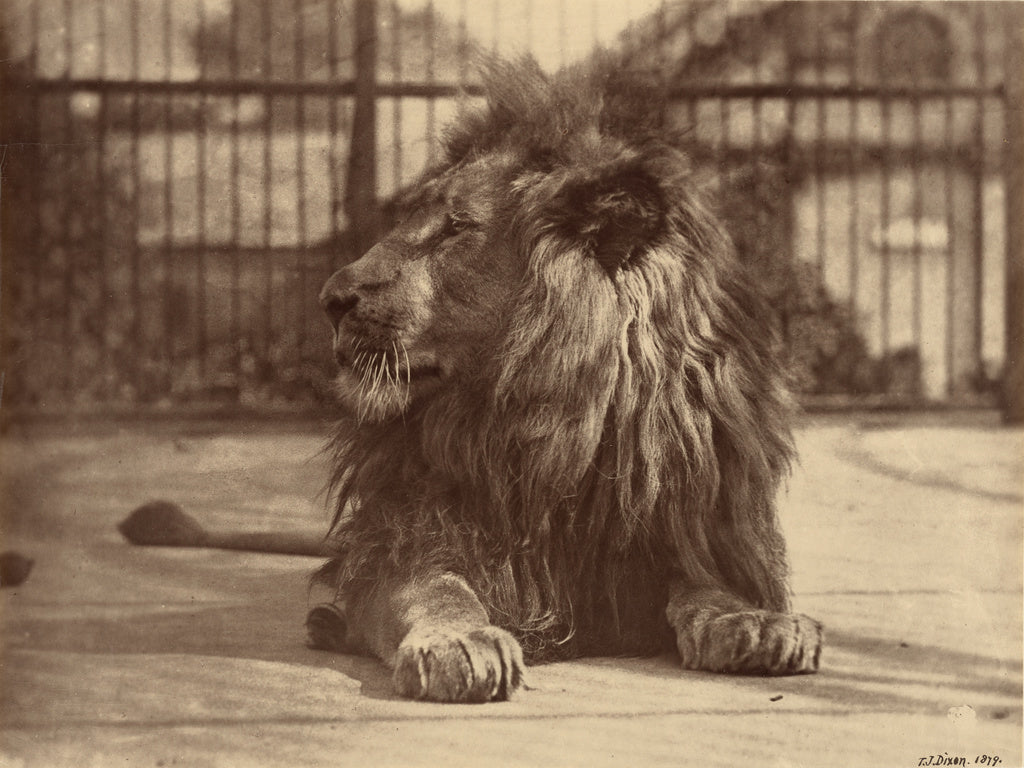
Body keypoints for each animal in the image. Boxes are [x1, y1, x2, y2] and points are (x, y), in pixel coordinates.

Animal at [306, 57, 822, 703]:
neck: (555, 426)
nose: (331, 299)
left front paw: (752, 622)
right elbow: (434, 590)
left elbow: (707, 584)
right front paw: (458, 642)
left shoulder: (685, 529)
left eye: (456, 228)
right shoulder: (402, 535)